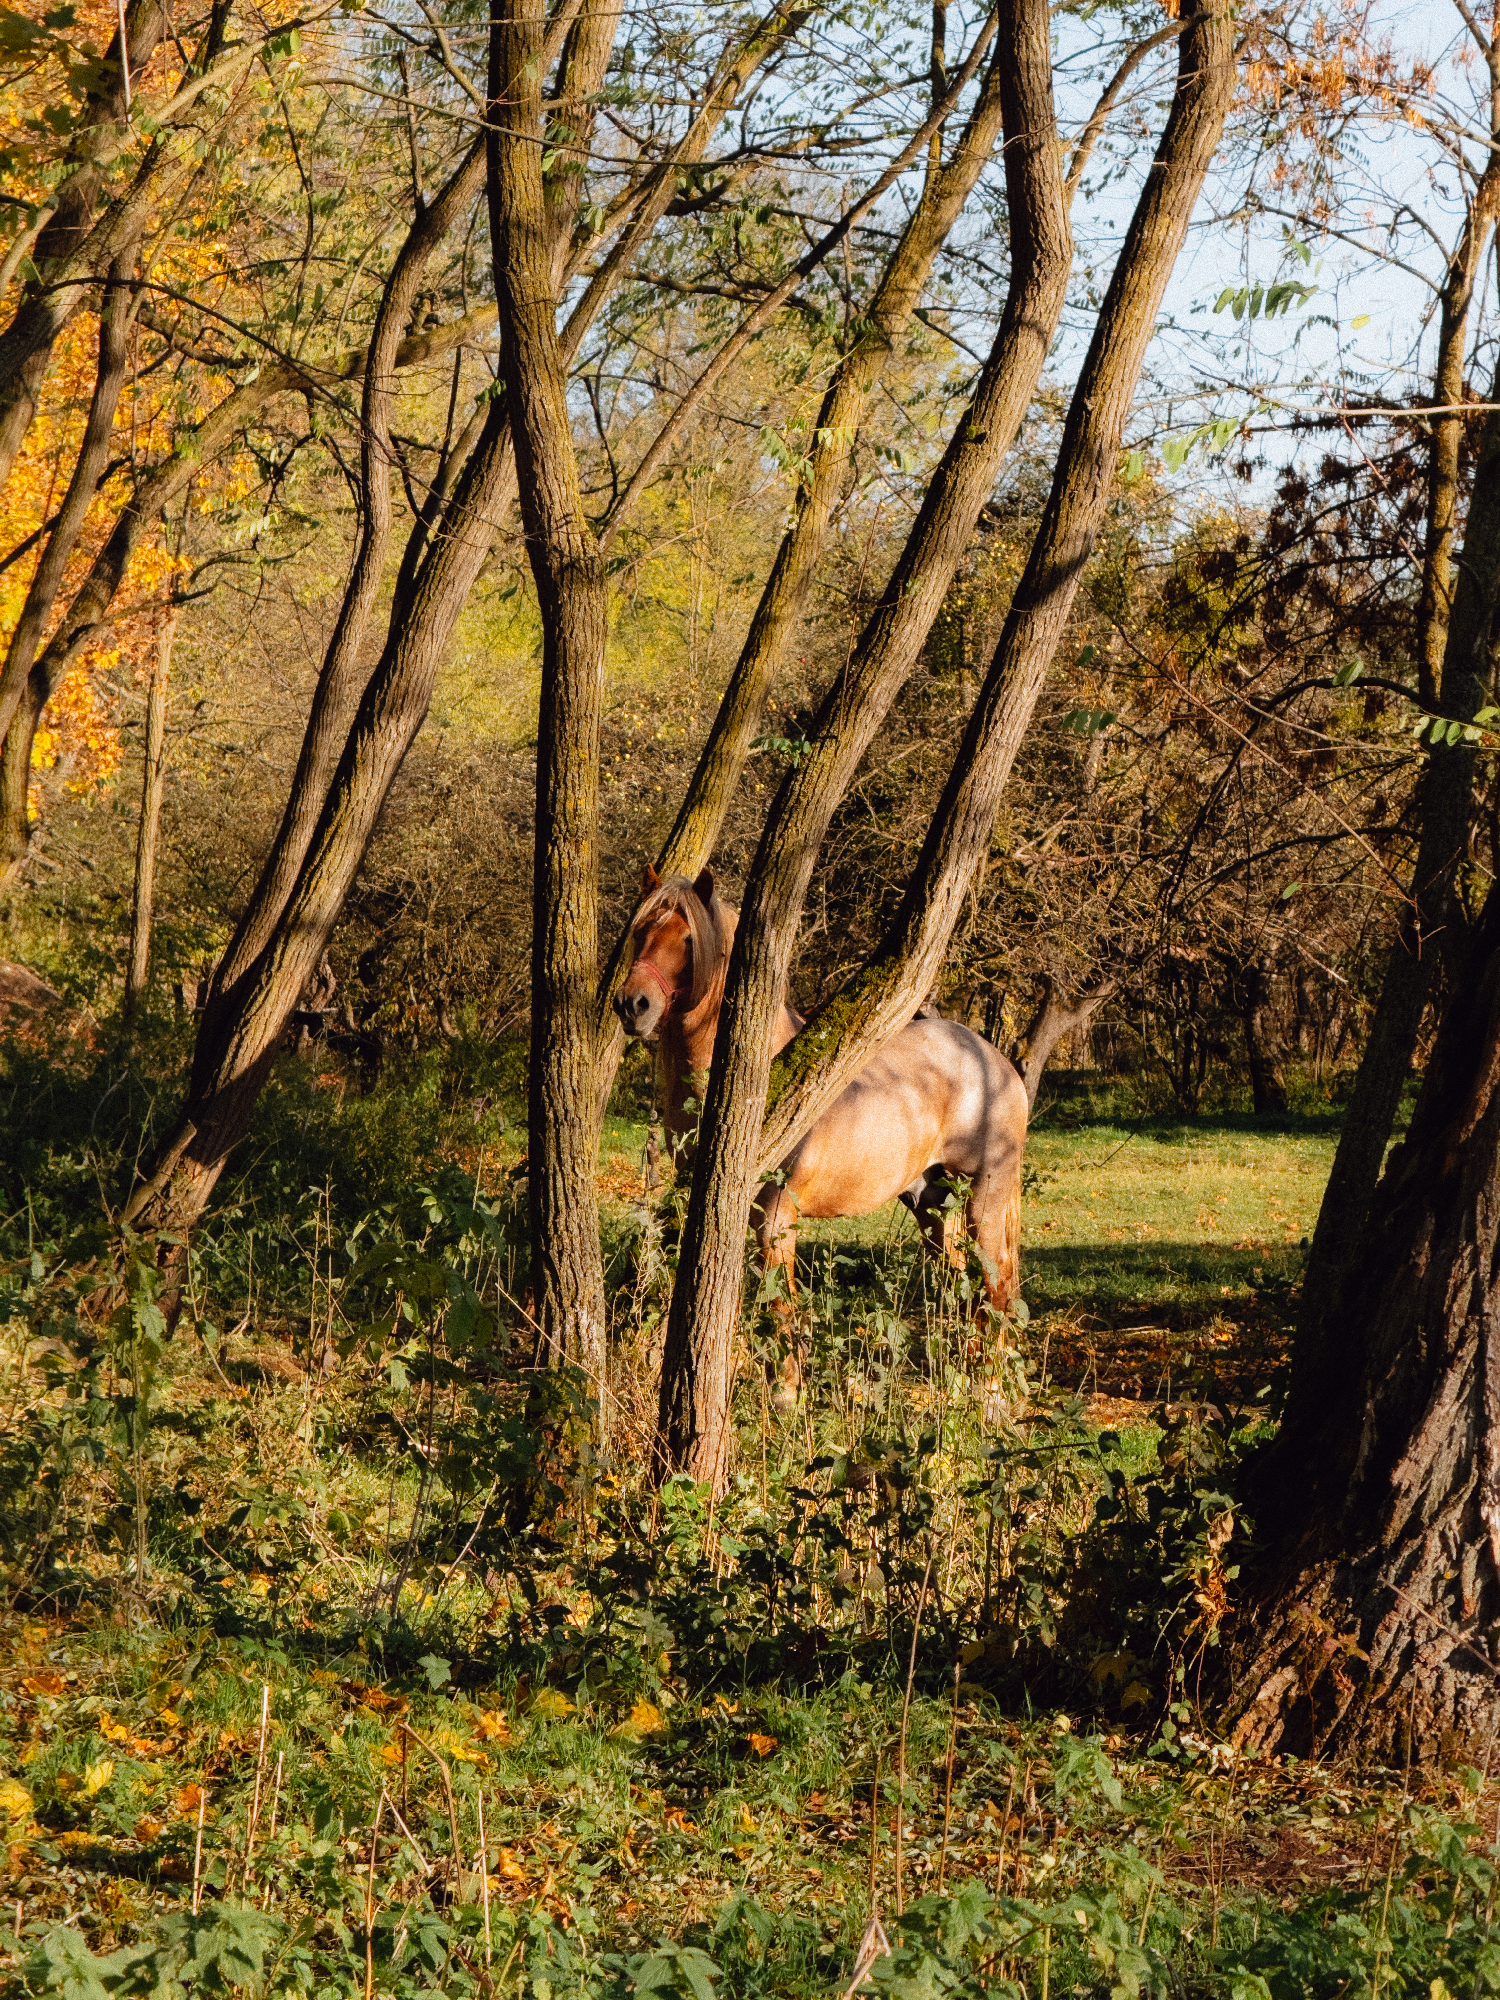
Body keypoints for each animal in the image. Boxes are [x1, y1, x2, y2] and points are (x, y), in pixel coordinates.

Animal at [613, 866, 1029, 1318]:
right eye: (640, 931)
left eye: (689, 939)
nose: (632, 1004)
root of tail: (999, 1064)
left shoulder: (775, 1217)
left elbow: (781, 1313)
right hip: (931, 1204)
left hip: (983, 1203)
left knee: (997, 1290)